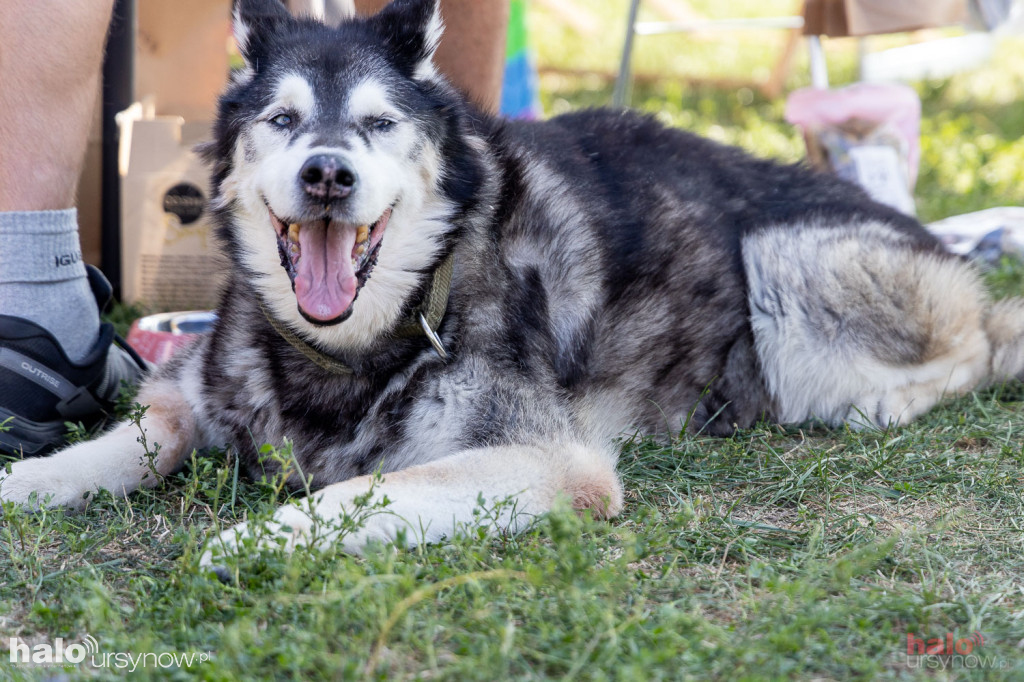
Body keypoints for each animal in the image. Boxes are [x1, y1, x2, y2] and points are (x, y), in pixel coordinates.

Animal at [2, 0, 1024, 561]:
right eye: (284, 120)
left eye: (377, 125)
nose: (326, 173)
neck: (359, 344)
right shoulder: (193, 387)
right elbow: (126, 442)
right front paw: (29, 481)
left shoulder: (551, 461)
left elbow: (365, 491)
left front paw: (263, 538)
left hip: (788, 265)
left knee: (977, 341)